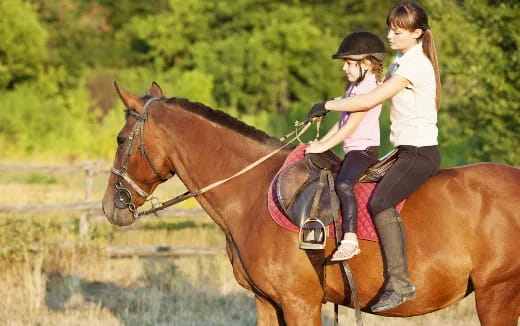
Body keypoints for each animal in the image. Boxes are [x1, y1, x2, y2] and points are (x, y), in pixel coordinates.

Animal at [101, 83, 520, 324]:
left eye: (121, 139)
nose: (110, 206)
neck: (253, 195)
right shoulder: (266, 303)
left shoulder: (300, 303)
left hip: (497, 295)